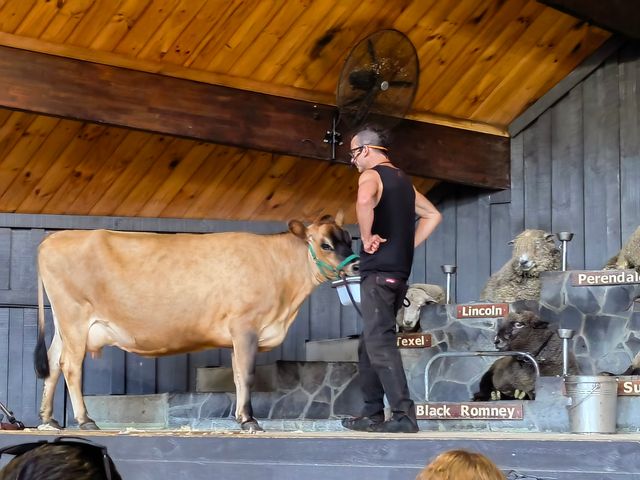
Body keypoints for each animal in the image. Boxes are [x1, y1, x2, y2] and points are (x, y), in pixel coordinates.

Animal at [35, 213, 358, 432]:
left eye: (348, 239)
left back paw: (49, 419)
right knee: (71, 366)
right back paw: (85, 420)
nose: (356, 264)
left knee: (53, 362)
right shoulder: (245, 325)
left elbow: (237, 375)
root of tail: (54, 238)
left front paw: (241, 417)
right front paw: (249, 420)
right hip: (75, 317)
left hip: (64, 323)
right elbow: (247, 374)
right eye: (326, 245)